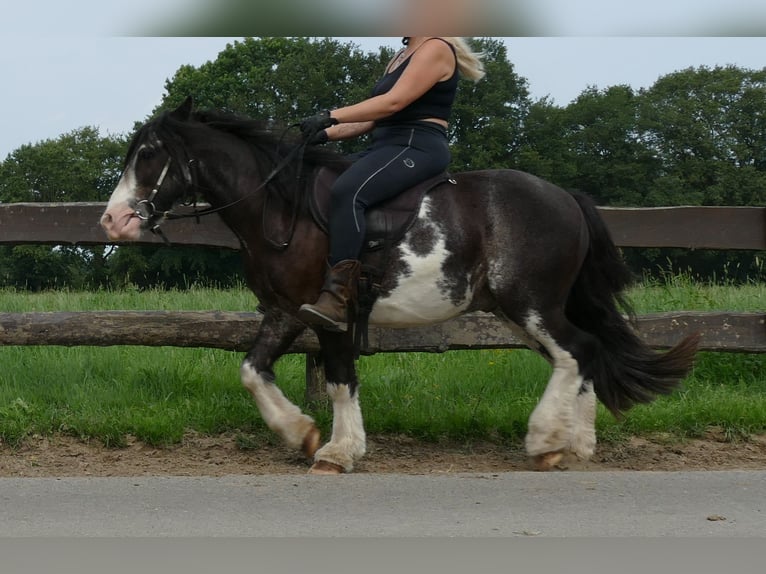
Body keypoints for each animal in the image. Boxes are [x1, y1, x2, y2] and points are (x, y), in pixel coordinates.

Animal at [100, 99, 704, 474]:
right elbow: (252, 371)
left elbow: (341, 380)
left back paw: (545, 441)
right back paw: (573, 445)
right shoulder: (284, 310)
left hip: (530, 303)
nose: (113, 220)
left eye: (149, 154)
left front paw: (338, 451)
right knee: (580, 355)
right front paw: (301, 433)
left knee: (577, 351)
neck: (281, 208)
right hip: (523, 311)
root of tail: (566, 198)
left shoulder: (329, 314)